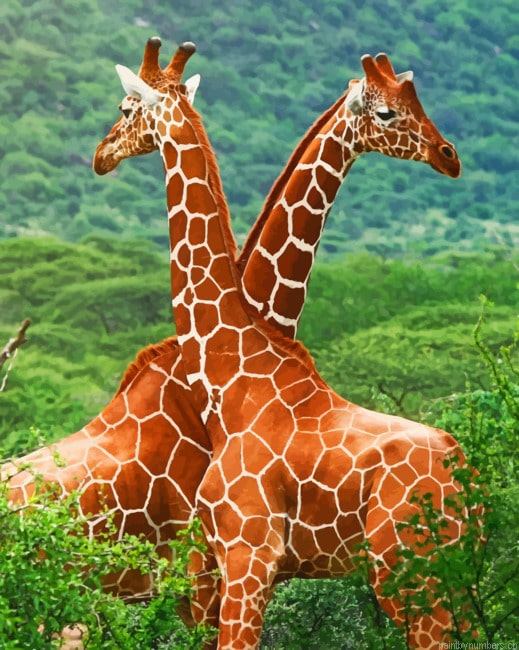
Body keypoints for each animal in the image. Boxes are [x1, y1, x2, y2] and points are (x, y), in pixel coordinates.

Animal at [92, 39, 480, 649]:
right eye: (389, 111)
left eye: (126, 108)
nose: (101, 154)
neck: (231, 373)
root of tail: (467, 478)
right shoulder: (235, 565)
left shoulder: (247, 553)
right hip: (451, 579)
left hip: (409, 575)